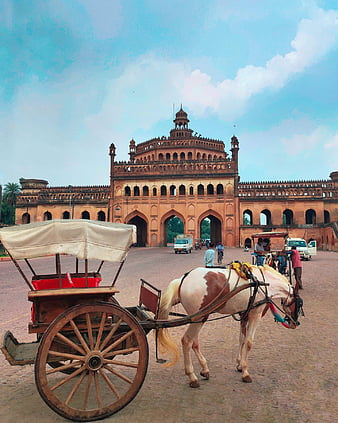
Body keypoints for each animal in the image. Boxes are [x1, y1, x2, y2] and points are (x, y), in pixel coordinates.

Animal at [157, 266, 302, 390]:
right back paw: (192, 377)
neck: (263, 283)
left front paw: (239, 364)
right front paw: (245, 372)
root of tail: (184, 278)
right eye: (300, 303)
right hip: (199, 318)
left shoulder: (244, 314)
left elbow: (242, 339)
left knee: (194, 343)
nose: (296, 323)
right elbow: (249, 342)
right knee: (187, 341)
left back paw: (204, 369)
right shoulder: (255, 314)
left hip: (197, 318)